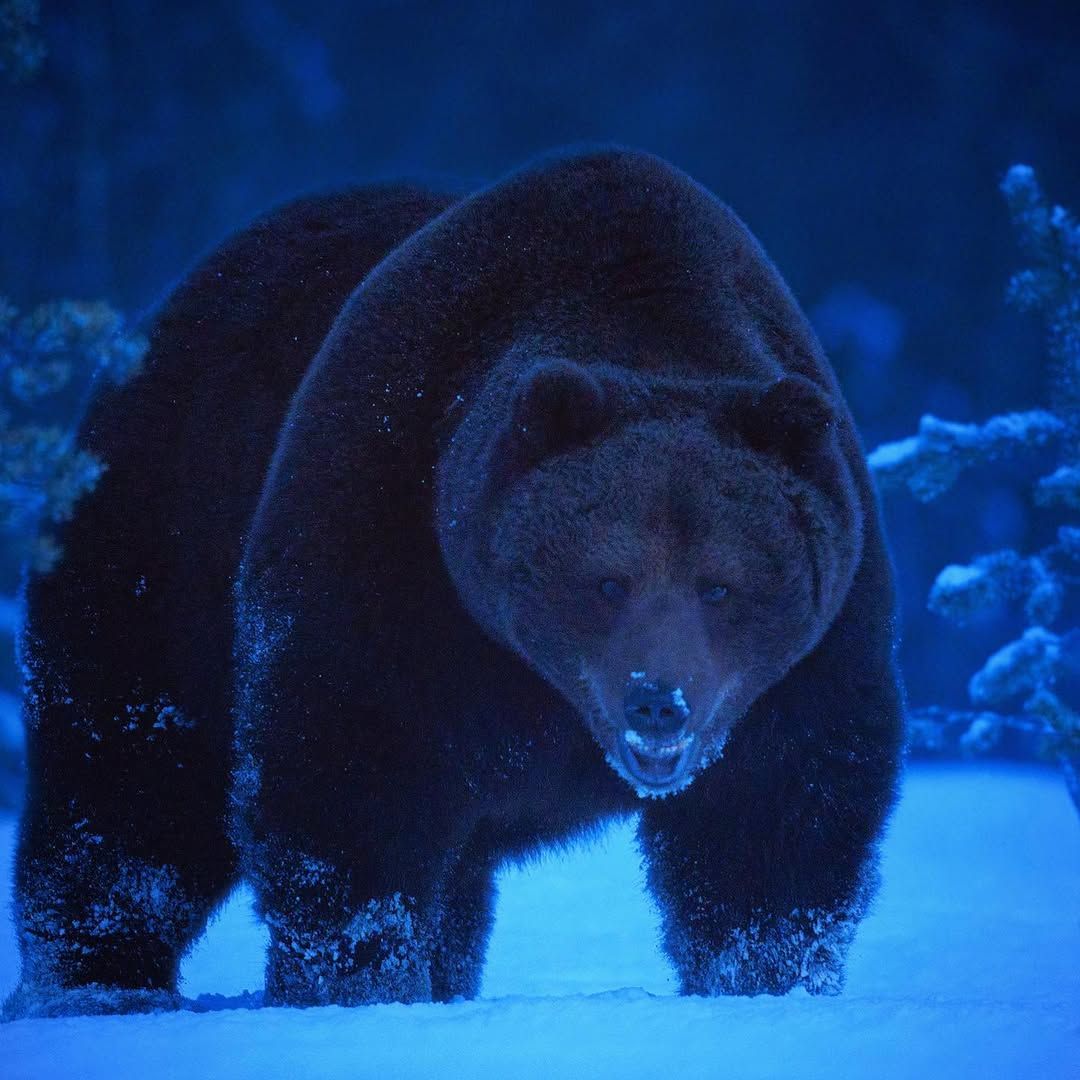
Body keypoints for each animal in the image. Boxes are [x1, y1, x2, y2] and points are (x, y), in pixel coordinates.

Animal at [5, 146, 904, 1018]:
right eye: (608, 582)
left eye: (720, 585)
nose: (658, 700)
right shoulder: (391, 536)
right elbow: (348, 774)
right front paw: (356, 983)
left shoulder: (811, 648)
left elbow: (775, 826)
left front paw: (765, 981)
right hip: (166, 527)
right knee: (134, 780)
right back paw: (102, 983)